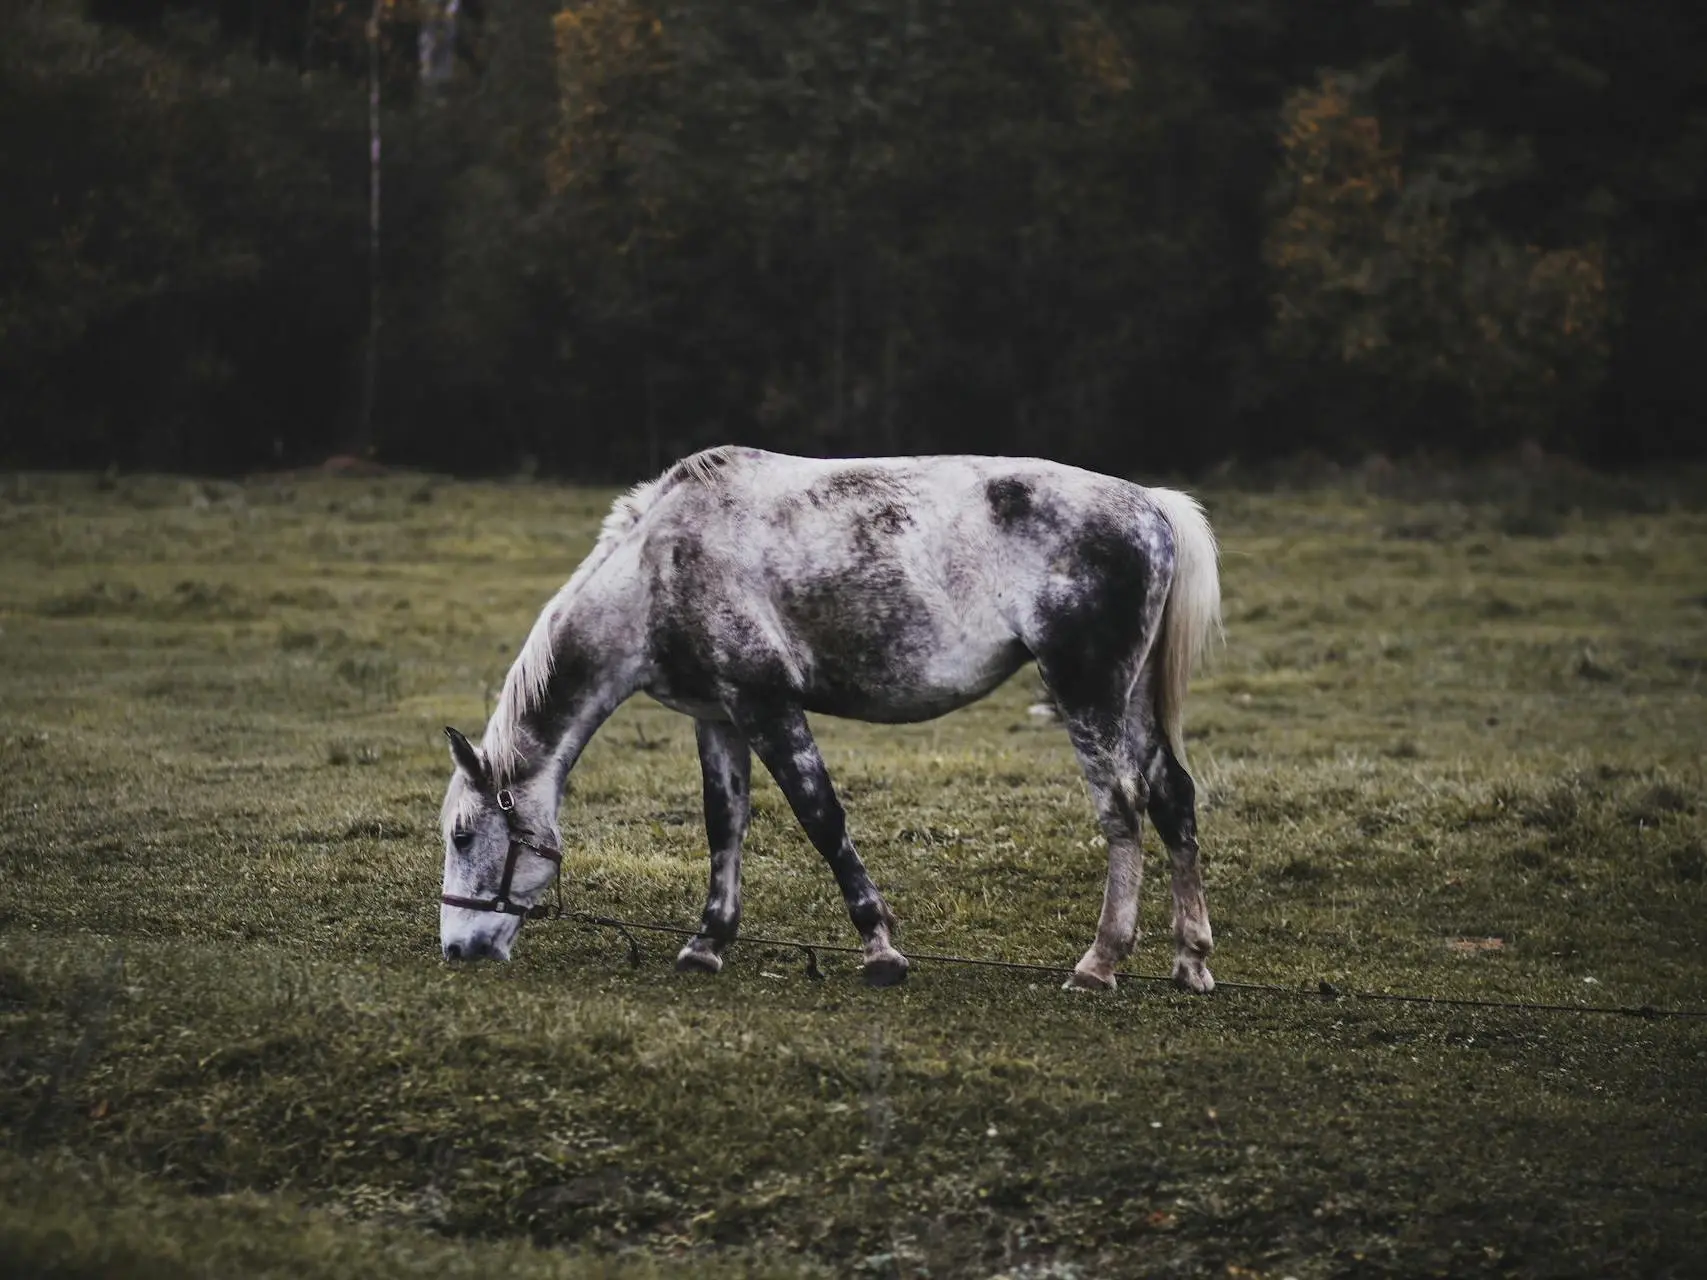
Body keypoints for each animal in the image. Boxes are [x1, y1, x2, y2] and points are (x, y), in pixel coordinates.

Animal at [433, 447, 1222, 996]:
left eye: (463, 835)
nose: (456, 949)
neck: (655, 571)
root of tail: (1148, 504)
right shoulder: (718, 717)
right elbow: (725, 825)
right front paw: (706, 943)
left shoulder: (766, 704)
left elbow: (820, 816)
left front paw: (880, 948)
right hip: (1130, 704)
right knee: (1172, 800)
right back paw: (1189, 962)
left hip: (1087, 698)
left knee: (1122, 809)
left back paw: (1100, 962)